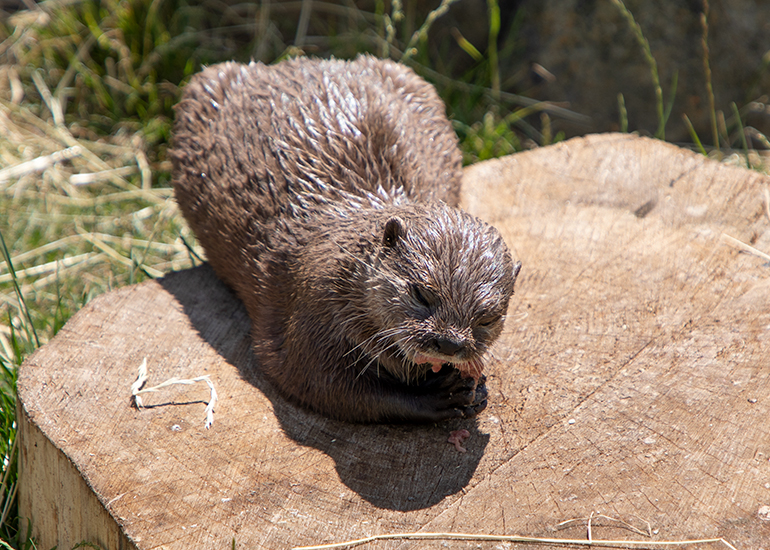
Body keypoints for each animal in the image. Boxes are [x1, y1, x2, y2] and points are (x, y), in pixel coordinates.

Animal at [171, 55, 521, 423]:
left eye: (488, 318)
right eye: (421, 294)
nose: (449, 343)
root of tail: (298, 61)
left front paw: (471, 385)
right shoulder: (312, 309)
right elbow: (324, 385)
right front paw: (439, 397)